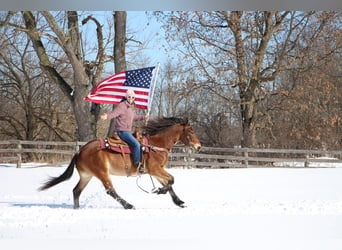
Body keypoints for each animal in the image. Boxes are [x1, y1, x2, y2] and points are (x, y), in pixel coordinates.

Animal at [38, 116, 202, 209]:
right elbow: (171, 180)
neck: (156, 145)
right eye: (191, 130)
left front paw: (178, 201)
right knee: (110, 190)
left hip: (87, 175)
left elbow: (168, 183)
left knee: (76, 191)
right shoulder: (154, 169)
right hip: (102, 173)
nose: (199, 146)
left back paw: (77, 209)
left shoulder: (156, 171)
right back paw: (129, 205)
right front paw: (160, 191)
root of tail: (80, 151)